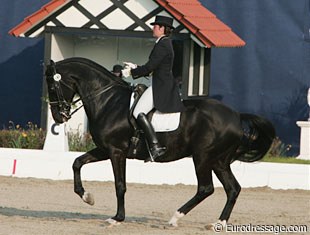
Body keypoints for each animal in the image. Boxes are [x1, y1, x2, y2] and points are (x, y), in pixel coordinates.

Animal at [45, 56, 274, 228]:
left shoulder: (116, 151)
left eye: (52, 86)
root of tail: (236, 116)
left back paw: (175, 218)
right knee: (233, 188)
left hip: (203, 157)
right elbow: (77, 163)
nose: (58, 117)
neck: (108, 101)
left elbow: (120, 185)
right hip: (219, 161)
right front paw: (87, 197)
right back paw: (218, 223)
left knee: (206, 188)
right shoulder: (104, 149)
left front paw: (117, 218)